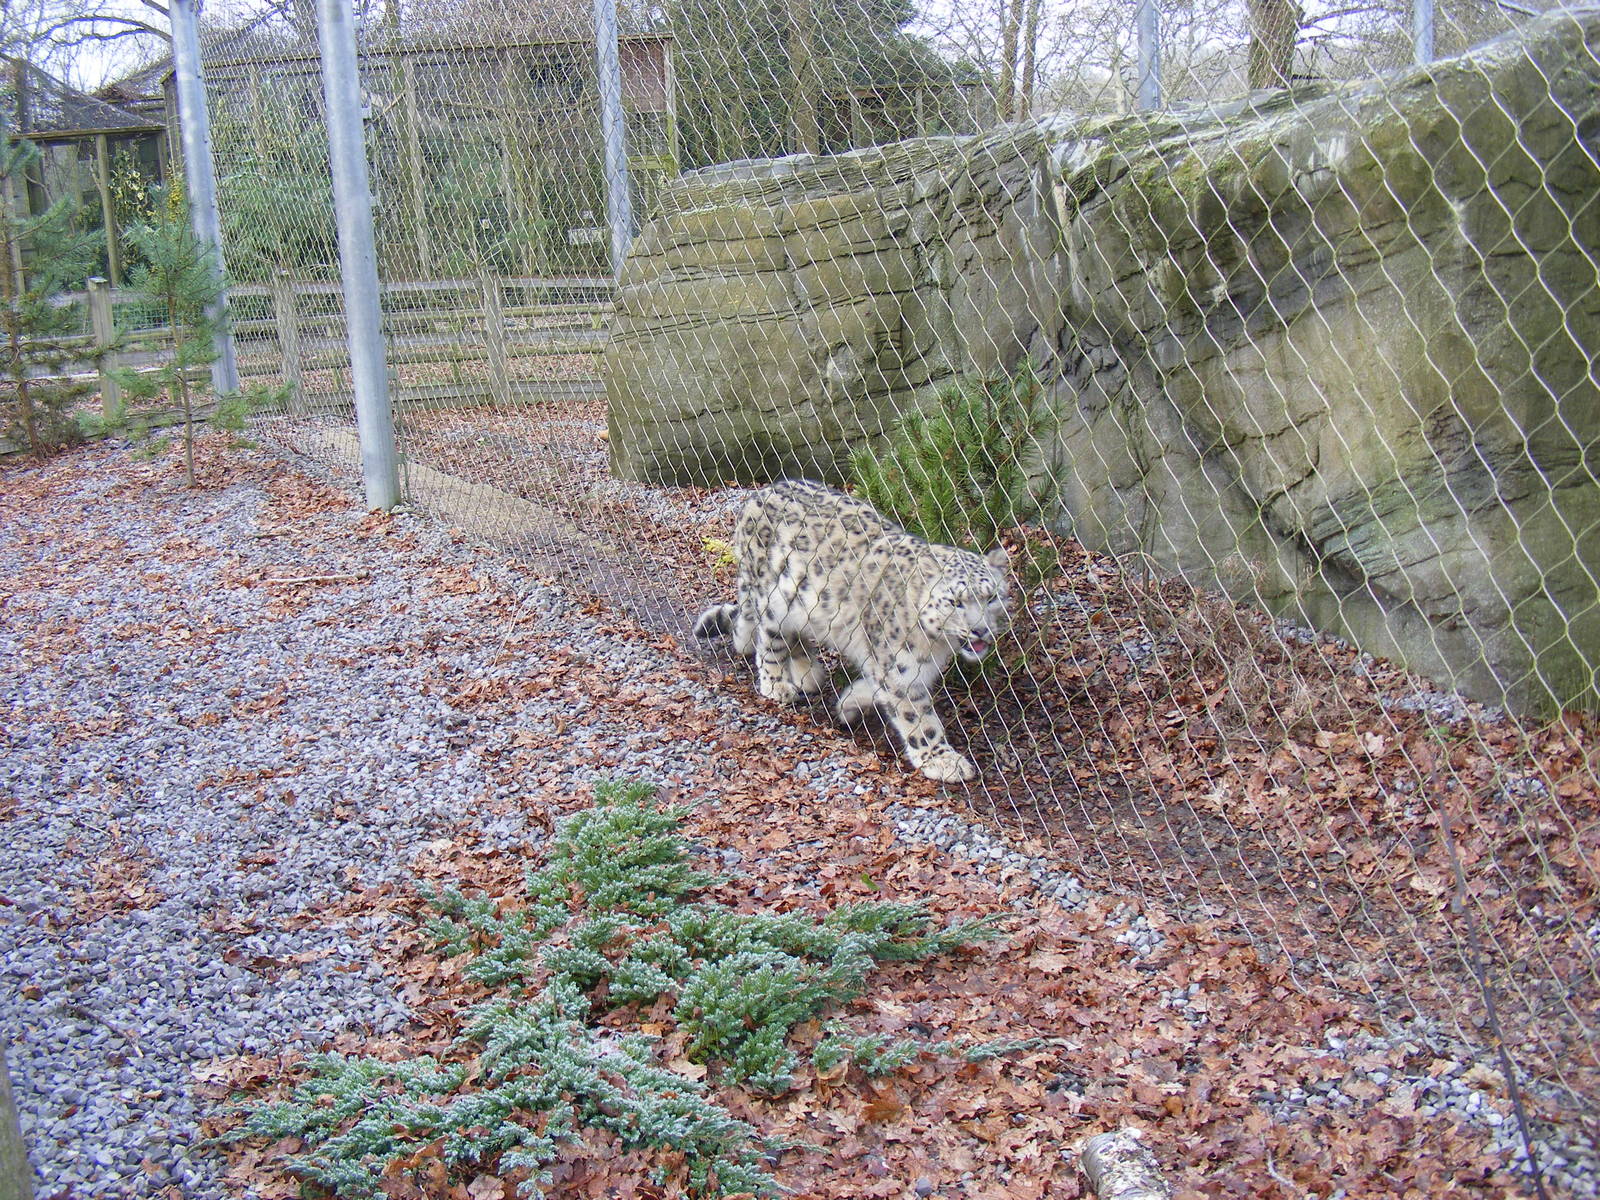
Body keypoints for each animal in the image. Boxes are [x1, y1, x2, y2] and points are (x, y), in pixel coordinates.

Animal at [693, 479, 1010, 782]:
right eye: (955, 601)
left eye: (992, 597)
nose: (980, 630)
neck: (936, 646)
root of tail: (760, 493)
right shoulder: (899, 669)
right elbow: (918, 718)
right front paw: (943, 761)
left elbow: (878, 687)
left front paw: (849, 701)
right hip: (773, 599)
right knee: (769, 639)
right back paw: (778, 684)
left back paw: (808, 672)